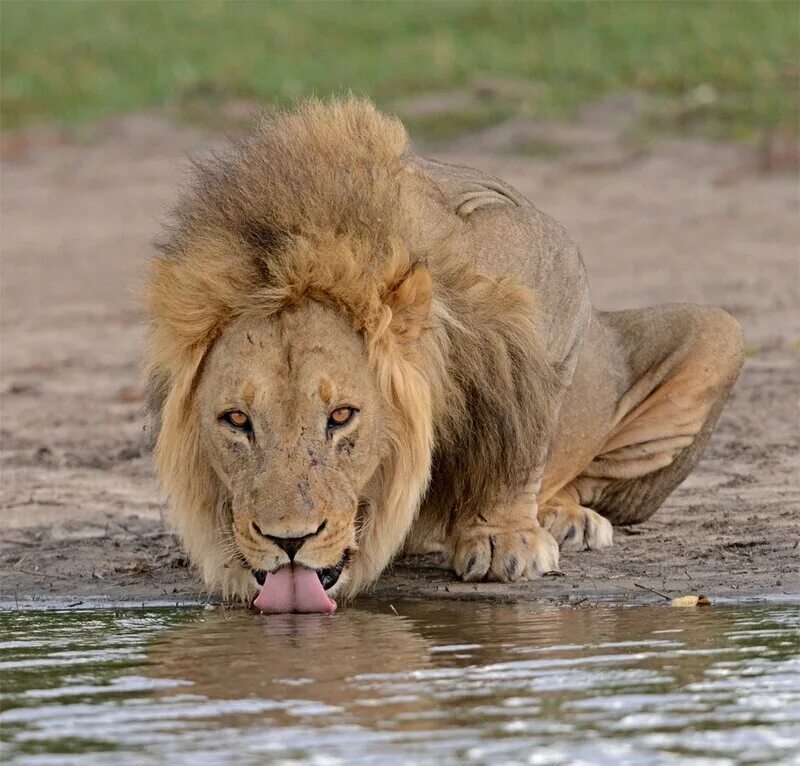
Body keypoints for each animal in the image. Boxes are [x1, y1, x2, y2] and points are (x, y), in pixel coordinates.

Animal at [144, 97, 744, 612]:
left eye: (342, 416)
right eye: (236, 420)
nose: (288, 540)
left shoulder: (544, 252)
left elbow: (524, 425)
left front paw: (504, 538)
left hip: (721, 332)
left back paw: (565, 518)